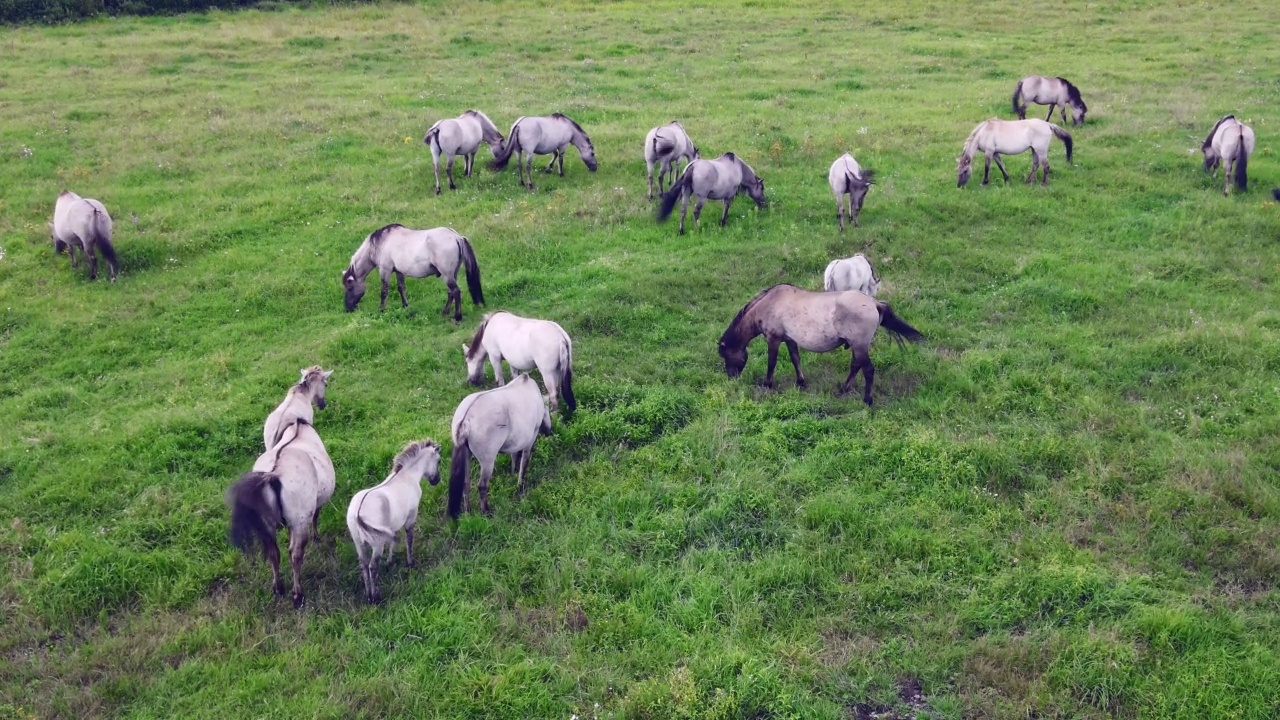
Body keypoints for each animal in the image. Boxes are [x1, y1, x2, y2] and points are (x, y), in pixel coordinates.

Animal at [225, 415, 335, 604]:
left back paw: (277, 588)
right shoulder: (313, 507)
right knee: (295, 554)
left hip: (268, 525)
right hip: (299, 522)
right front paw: (317, 538)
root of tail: (273, 476)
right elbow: (315, 518)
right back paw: (298, 595)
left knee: (273, 553)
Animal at [340, 221, 483, 316]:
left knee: (456, 292)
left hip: (447, 274)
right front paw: (405, 306)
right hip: (453, 273)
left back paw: (457, 317)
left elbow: (384, 291)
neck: (380, 243)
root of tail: (457, 237)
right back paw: (445, 312)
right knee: (451, 292)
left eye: (350, 287)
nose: (348, 308)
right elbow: (401, 288)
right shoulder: (399, 272)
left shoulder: (385, 270)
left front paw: (381, 310)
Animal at [345, 438, 440, 599]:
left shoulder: (391, 526)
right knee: (372, 567)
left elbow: (393, 540)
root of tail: (357, 513)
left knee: (363, 565)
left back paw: (368, 594)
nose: (437, 481)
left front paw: (390, 561)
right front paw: (410, 563)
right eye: (438, 461)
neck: (407, 476)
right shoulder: (410, 517)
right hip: (376, 544)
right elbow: (409, 539)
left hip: (359, 543)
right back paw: (375, 597)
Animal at [448, 371, 552, 517]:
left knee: (465, 483)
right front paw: (520, 485)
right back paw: (486, 512)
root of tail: (465, 421)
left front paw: (513, 472)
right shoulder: (530, 440)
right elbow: (524, 463)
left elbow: (514, 455)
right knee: (482, 485)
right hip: (487, 460)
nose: (550, 432)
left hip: (467, 455)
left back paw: (468, 511)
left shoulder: (517, 440)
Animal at [716, 283, 926, 404]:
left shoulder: (773, 339)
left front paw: (767, 385)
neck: (770, 304)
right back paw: (843, 389)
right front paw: (801, 382)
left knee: (867, 370)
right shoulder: (790, 340)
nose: (731, 377)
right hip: (857, 346)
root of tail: (874, 303)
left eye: (727, 356)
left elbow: (771, 363)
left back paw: (867, 400)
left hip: (859, 346)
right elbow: (795, 359)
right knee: (855, 366)